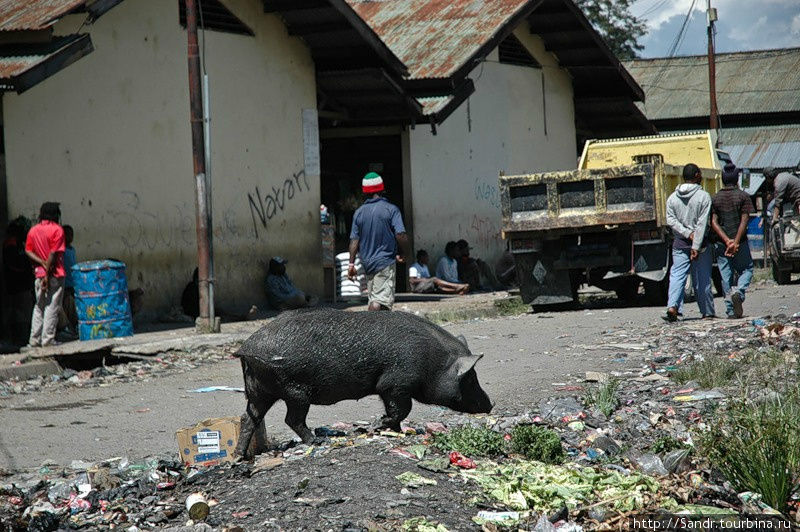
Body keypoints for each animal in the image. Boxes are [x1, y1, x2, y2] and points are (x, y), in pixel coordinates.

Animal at [234, 308, 490, 458]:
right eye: (470, 377)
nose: (490, 404)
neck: (433, 362)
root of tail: (246, 348)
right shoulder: (395, 383)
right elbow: (401, 409)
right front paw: (377, 426)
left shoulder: (389, 389)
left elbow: (396, 411)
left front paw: (396, 432)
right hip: (295, 392)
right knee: (291, 419)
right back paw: (318, 440)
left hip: (259, 391)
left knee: (249, 418)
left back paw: (238, 458)